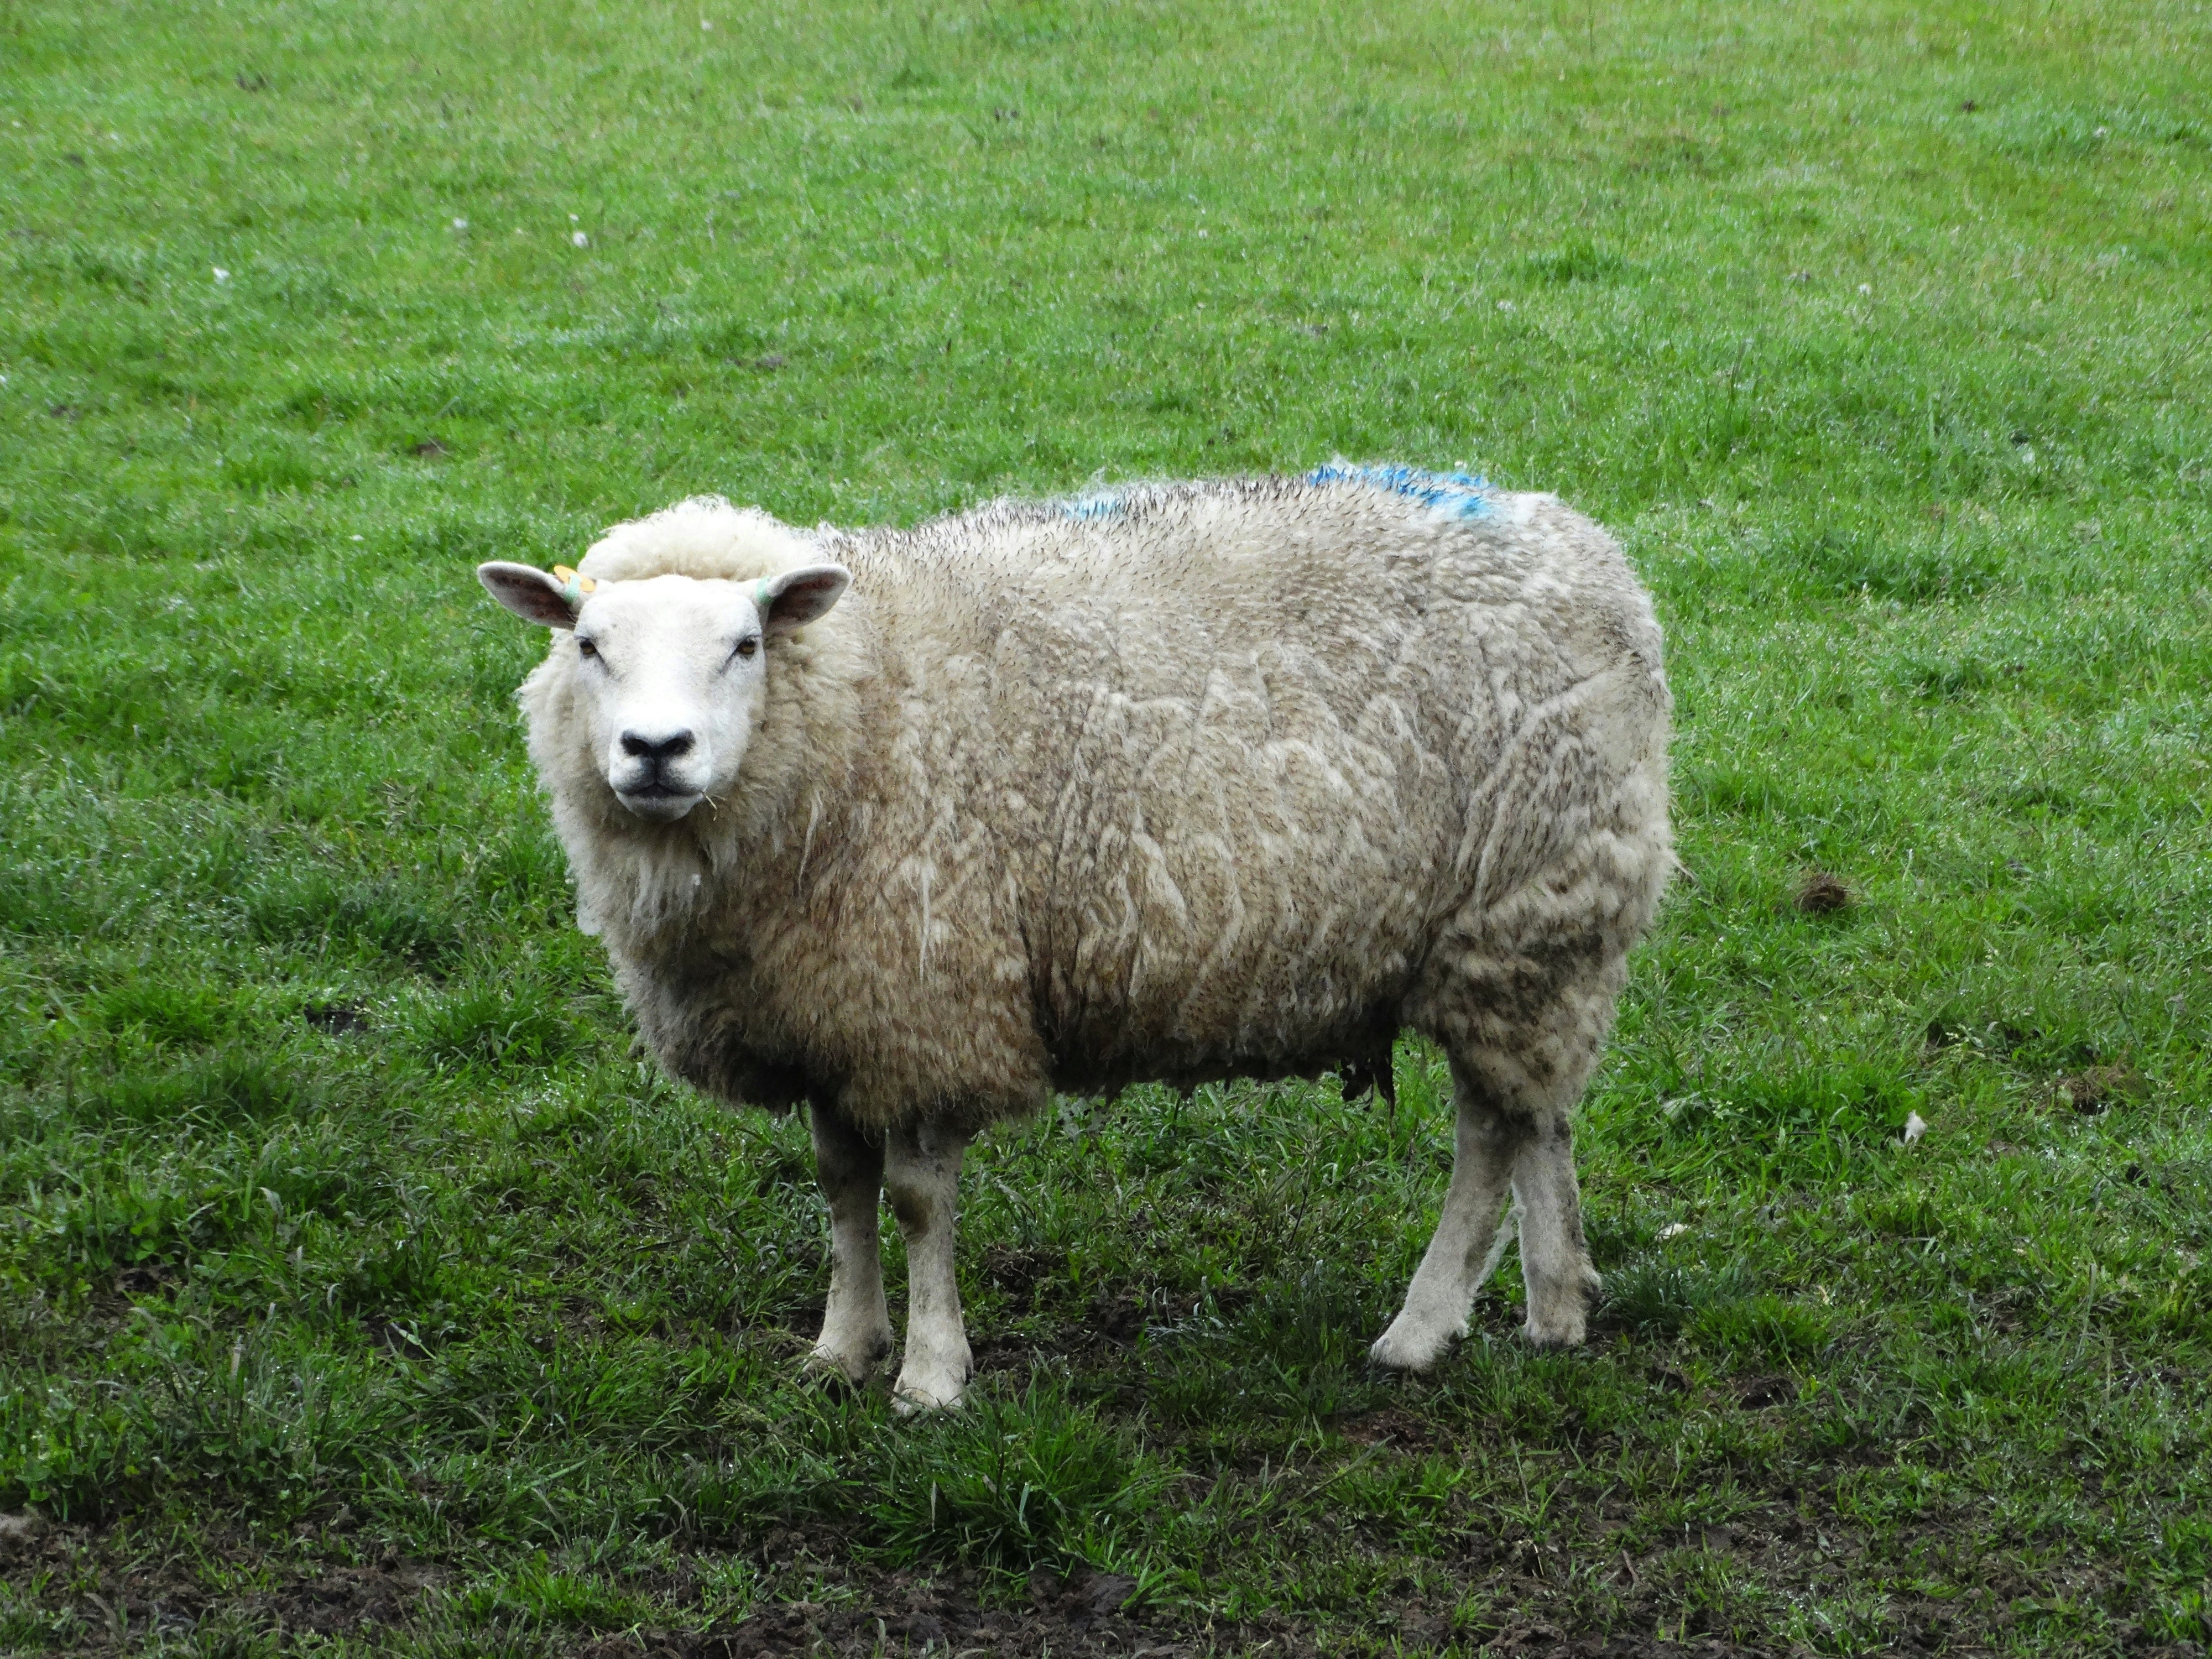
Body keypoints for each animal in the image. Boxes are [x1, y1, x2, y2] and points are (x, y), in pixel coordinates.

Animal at [476, 465, 1671, 1410]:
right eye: (588, 645)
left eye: (744, 644)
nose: (655, 750)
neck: (863, 697)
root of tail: (1581, 549)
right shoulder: (831, 1015)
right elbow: (840, 1187)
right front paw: (841, 1349)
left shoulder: (931, 1003)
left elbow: (915, 1202)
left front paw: (930, 1375)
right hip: (1535, 939)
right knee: (1537, 1117)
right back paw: (1557, 1306)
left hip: (1514, 919)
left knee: (1489, 1136)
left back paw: (1421, 1331)